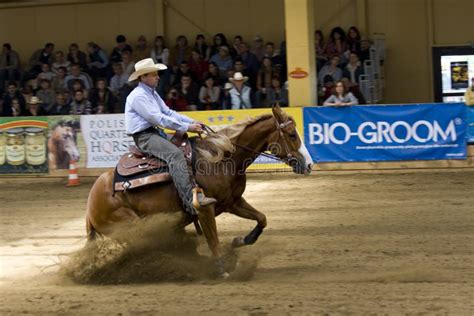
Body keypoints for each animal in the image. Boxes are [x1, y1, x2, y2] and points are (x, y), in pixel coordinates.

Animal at [85, 105, 314, 274]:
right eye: (292, 135)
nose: (310, 164)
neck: (221, 159)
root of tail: (90, 205)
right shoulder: (205, 210)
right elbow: (212, 239)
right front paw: (221, 268)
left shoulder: (232, 202)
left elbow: (262, 218)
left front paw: (240, 241)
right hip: (133, 226)